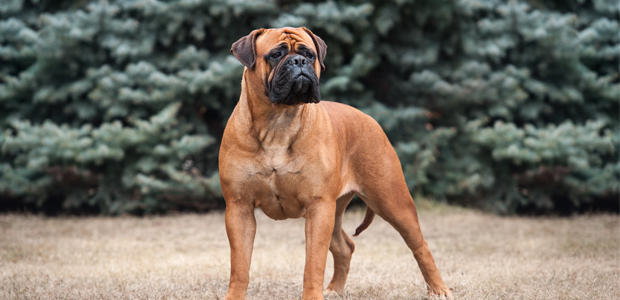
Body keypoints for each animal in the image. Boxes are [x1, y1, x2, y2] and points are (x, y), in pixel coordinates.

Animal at [220, 27, 452, 298]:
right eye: (276, 54)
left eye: (309, 54)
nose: (298, 62)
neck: (278, 121)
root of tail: (370, 119)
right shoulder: (239, 208)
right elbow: (240, 264)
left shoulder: (318, 207)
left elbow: (313, 263)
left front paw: (312, 296)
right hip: (337, 210)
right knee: (345, 246)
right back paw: (334, 290)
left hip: (392, 202)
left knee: (420, 245)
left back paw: (439, 289)